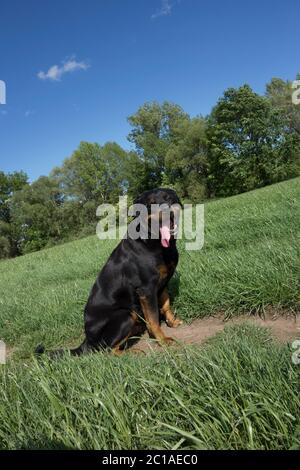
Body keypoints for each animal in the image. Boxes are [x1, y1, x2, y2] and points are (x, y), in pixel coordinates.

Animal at [36, 187, 182, 356]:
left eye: (169, 198)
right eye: (150, 204)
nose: (166, 211)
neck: (153, 241)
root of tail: (88, 341)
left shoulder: (163, 282)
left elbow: (166, 305)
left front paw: (172, 322)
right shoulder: (146, 290)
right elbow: (153, 319)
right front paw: (163, 340)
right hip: (125, 315)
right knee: (108, 350)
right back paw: (133, 352)